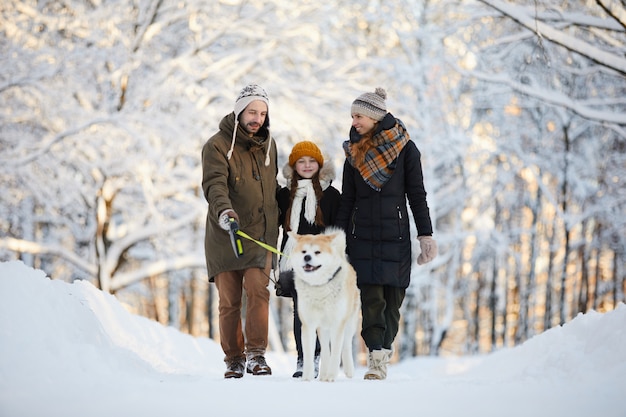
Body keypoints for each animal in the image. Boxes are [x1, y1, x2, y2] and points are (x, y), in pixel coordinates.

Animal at [288, 228, 360, 380]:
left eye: (317, 252)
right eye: (304, 251)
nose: (307, 257)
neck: (319, 287)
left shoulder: (338, 323)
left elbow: (336, 353)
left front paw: (331, 376)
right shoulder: (308, 325)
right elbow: (309, 354)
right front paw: (307, 377)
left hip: (349, 323)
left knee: (346, 345)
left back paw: (348, 371)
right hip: (322, 328)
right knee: (326, 351)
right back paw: (323, 374)